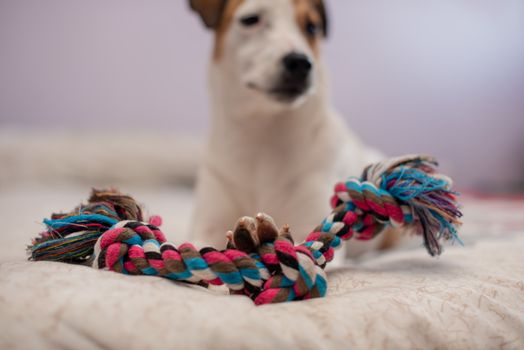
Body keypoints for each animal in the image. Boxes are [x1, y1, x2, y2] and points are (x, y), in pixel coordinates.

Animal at [186, 0, 396, 258]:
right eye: (251, 19)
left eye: (312, 27)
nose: (300, 62)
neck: (260, 134)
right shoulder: (206, 228)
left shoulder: (309, 226)